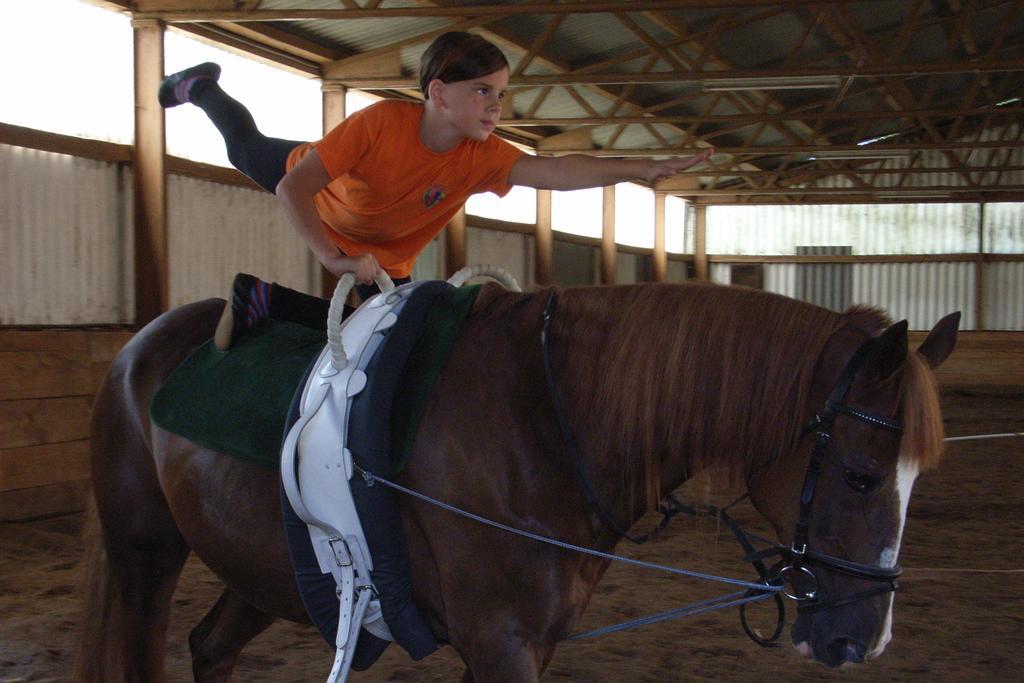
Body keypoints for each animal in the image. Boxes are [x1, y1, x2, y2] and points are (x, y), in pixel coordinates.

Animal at [75, 280, 954, 679]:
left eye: (917, 478)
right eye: (861, 476)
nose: (862, 638)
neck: (544, 423)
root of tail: (137, 346)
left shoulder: (524, 642)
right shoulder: (501, 642)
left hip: (269, 572)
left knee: (211, 645)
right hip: (144, 556)